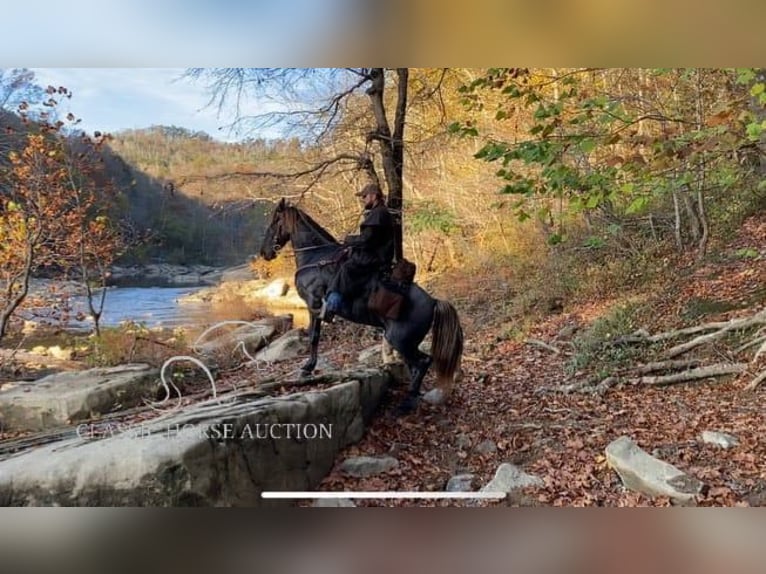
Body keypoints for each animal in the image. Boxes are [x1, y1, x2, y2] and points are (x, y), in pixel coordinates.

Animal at [260, 198, 464, 414]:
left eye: (274, 222)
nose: (264, 253)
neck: (316, 258)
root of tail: (433, 302)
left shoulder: (313, 304)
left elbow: (314, 337)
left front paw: (307, 367)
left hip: (400, 340)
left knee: (423, 362)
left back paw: (407, 403)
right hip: (407, 343)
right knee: (416, 365)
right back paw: (413, 396)